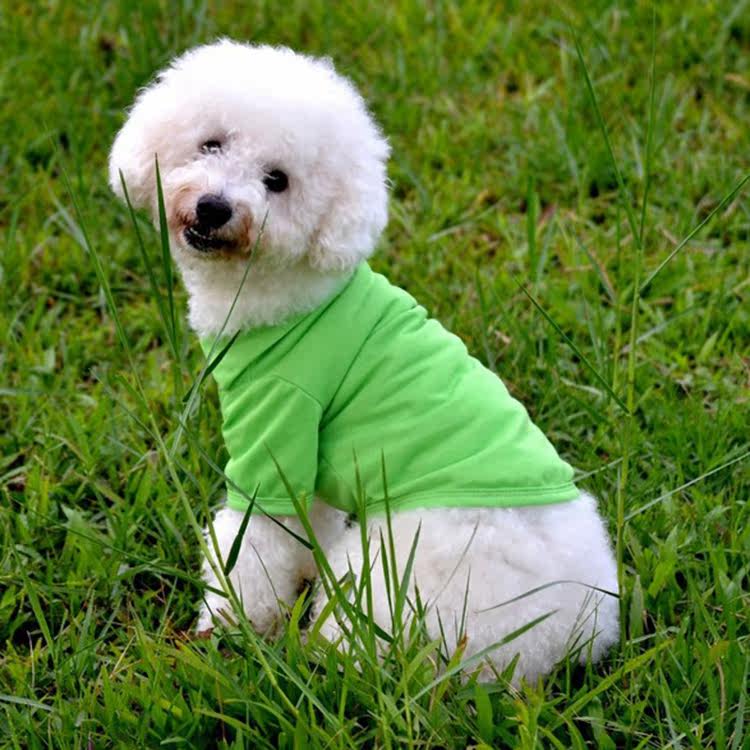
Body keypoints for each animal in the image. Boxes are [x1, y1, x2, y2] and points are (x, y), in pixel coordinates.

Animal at [109, 39, 619, 683]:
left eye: (277, 181)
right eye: (211, 144)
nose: (214, 207)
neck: (292, 295)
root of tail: (582, 633)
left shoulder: (277, 426)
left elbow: (249, 549)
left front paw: (225, 631)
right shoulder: (310, 464)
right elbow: (308, 527)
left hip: (400, 576)